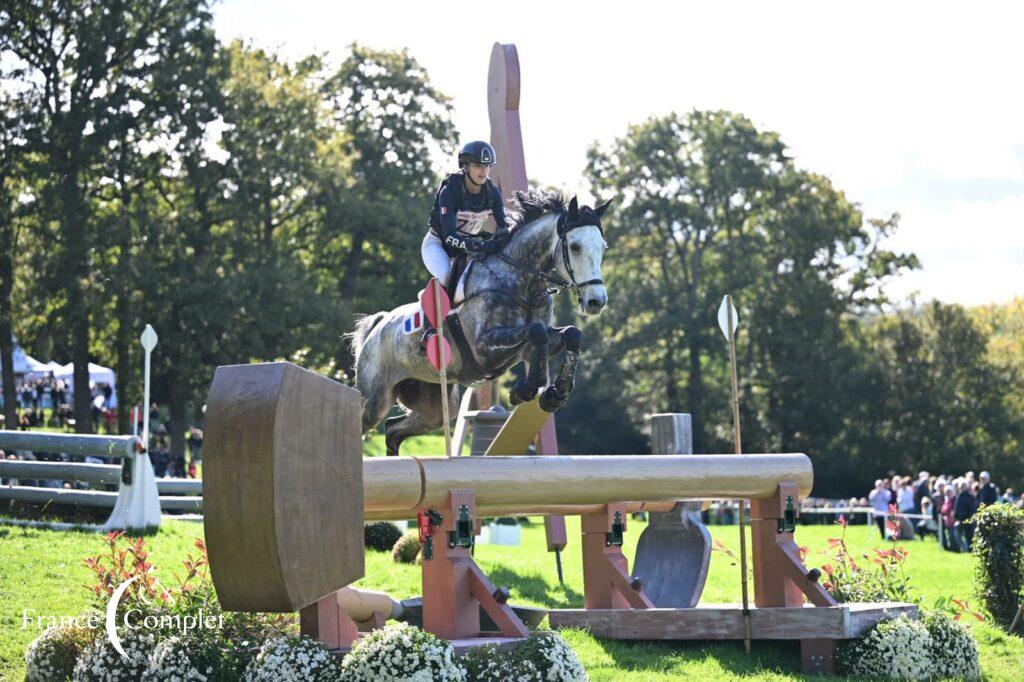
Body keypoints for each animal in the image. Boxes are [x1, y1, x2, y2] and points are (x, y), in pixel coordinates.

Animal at [348, 188, 610, 454]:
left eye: (603, 246)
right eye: (575, 247)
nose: (596, 302)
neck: (519, 281)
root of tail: (377, 326)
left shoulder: (526, 350)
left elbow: (569, 334)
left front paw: (556, 392)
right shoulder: (484, 347)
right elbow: (537, 332)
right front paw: (524, 390)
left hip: (434, 404)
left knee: (393, 429)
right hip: (375, 399)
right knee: (364, 422)